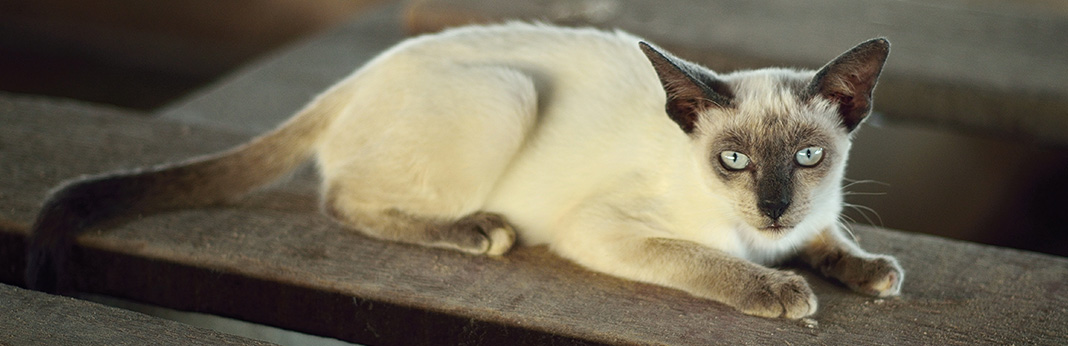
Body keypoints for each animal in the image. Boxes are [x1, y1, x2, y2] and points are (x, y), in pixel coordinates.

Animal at [27, 22, 901, 318]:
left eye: (810, 157)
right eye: (733, 161)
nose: (774, 206)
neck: (760, 235)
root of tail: (362, 73)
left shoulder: (816, 215)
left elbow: (832, 240)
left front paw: (871, 273)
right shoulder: (605, 230)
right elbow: (707, 262)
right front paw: (779, 293)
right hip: (507, 91)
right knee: (339, 198)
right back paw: (479, 232)